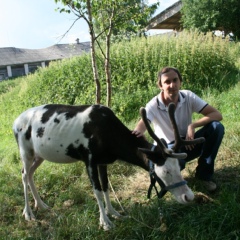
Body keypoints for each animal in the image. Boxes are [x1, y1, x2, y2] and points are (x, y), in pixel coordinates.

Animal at [13, 103, 203, 231]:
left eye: (179, 166)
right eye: (165, 171)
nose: (188, 196)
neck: (111, 140)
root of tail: (14, 123)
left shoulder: (103, 161)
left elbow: (105, 186)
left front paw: (114, 212)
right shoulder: (89, 158)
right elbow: (97, 190)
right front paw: (105, 222)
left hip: (39, 155)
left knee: (30, 174)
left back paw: (41, 204)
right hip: (24, 149)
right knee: (23, 174)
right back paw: (28, 213)